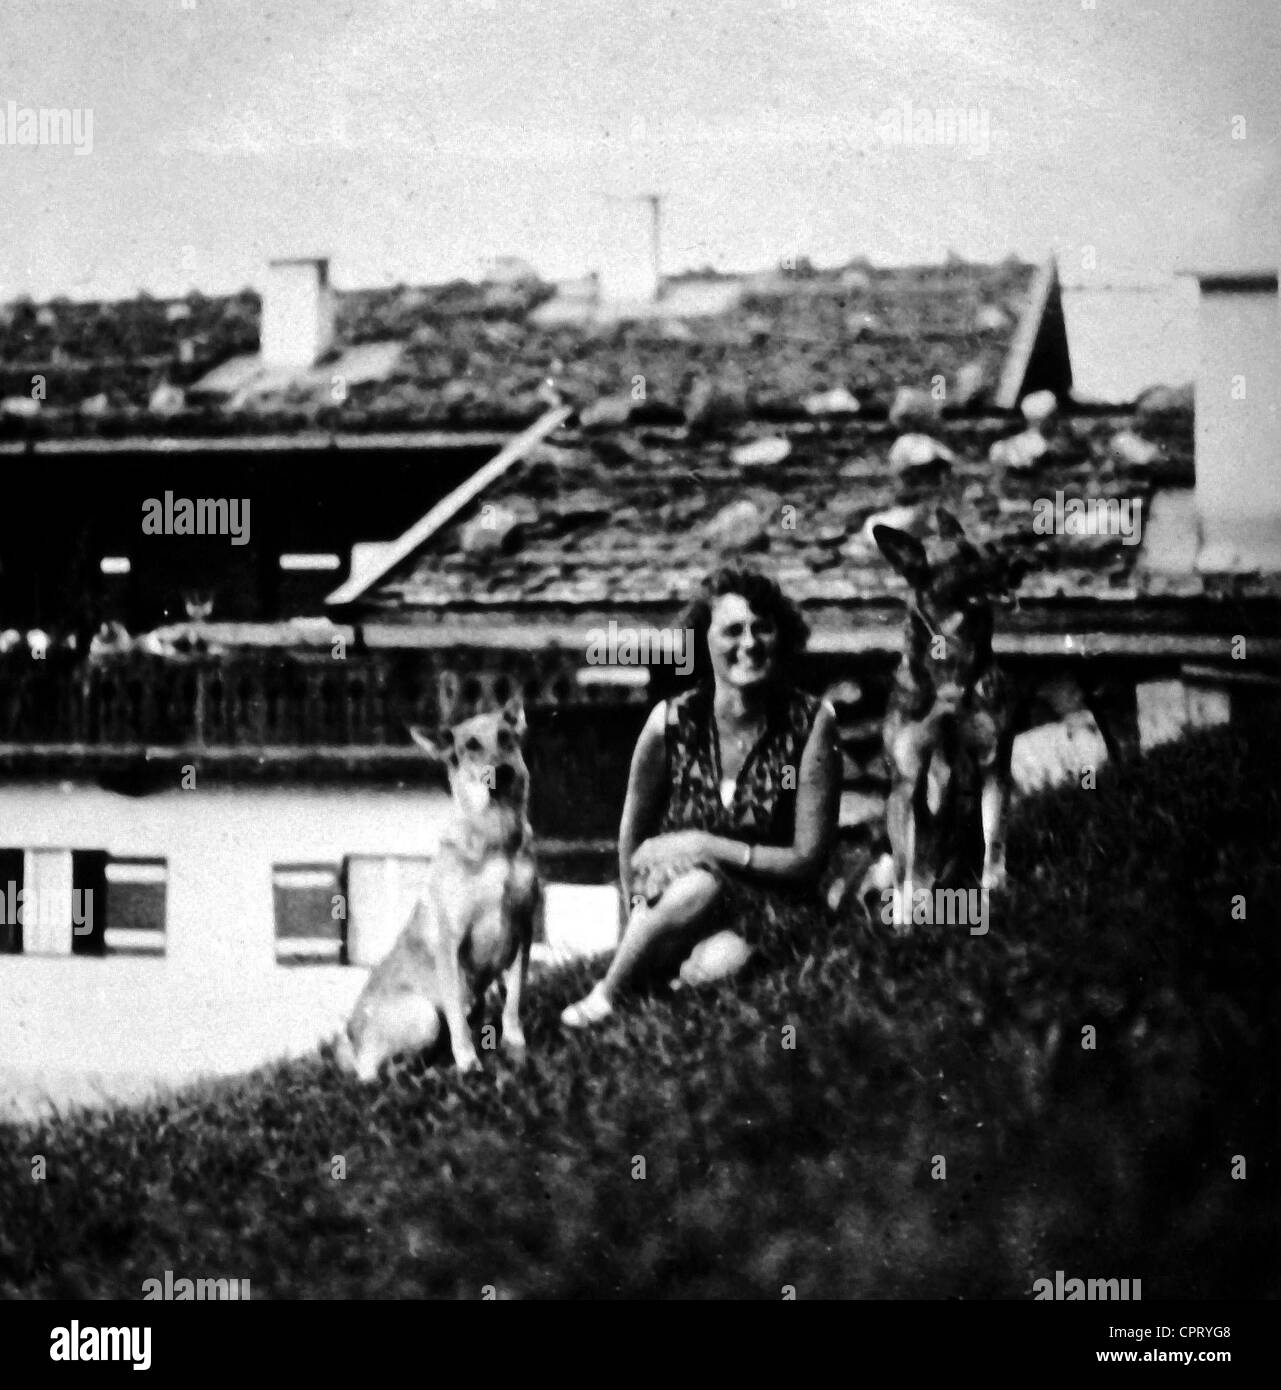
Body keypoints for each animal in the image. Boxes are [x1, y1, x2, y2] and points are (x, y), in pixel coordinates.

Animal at [334, 700, 539, 1078]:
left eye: (505, 737)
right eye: (471, 745)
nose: (502, 772)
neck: (496, 839)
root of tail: (351, 1041)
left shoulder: (523, 930)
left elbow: (514, 1000)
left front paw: (516, 1047)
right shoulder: (451, 942)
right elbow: (458, 1018)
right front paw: (469, 1064)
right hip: (423, 1016)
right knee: (374, 1073)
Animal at [861, 505, 1022, 928]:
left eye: (990, 548)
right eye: (965, 558)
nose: (1020, 564)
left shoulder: (993, 765)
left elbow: (994, 840)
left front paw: (994, 896)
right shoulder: (905, 783)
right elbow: (905, 866)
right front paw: (903, 922)